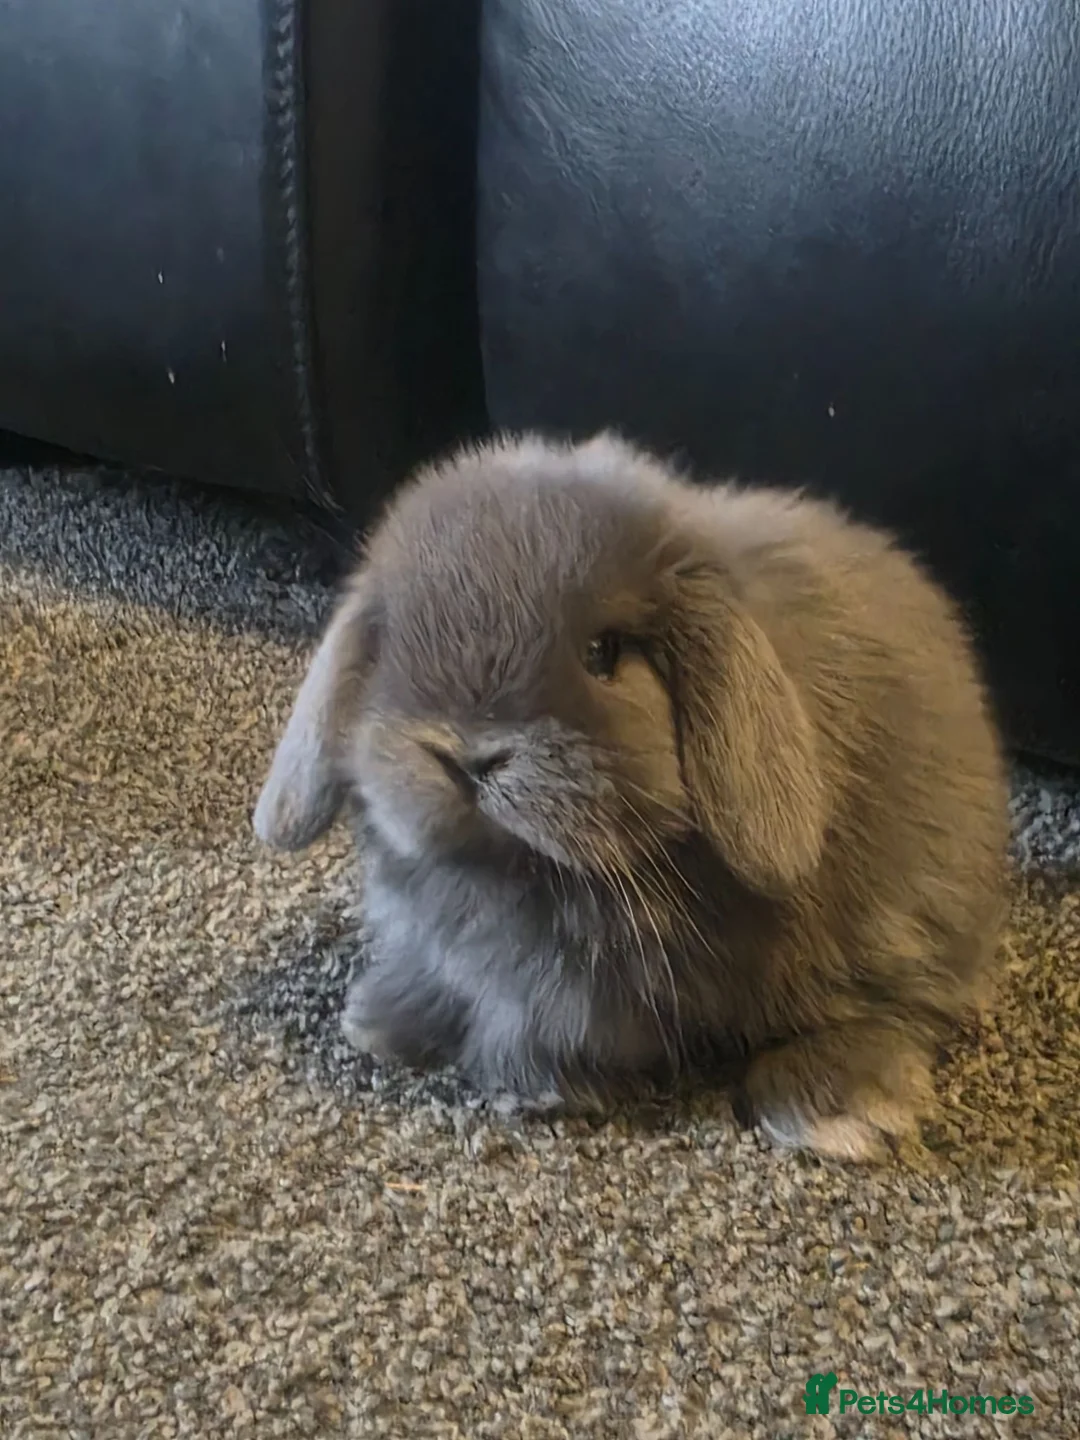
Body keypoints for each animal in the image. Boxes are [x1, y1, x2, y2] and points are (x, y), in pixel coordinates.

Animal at [253, 432, 1010, 1162]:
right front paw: (385, 1021)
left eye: (604, 653)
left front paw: (534, 1090)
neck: (524, 874)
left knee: (893, 1009)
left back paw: (828, 1110)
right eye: (396, 645)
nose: (466, 757)